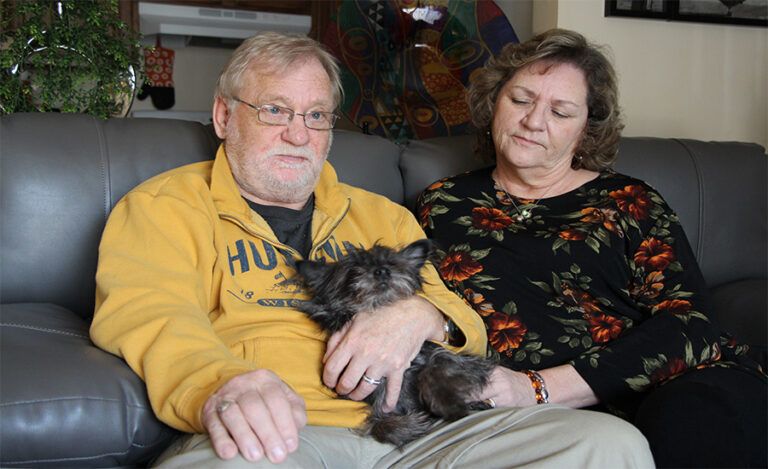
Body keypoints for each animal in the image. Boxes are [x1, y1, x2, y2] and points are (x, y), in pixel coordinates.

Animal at [294, 239, 492, 444]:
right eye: (354, 269)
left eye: (392, 263)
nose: (382, 271)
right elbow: (380, 426)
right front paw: (408, 426)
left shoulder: (460, 360)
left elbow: (436, 368)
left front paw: (449, 405)